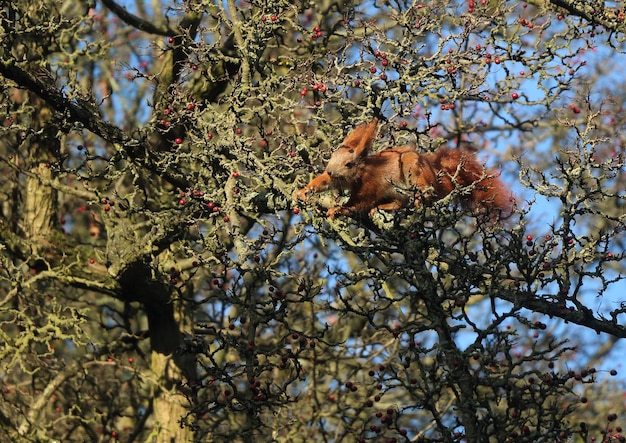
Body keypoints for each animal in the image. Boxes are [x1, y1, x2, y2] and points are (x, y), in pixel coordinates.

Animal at [292, 119, 512, 221]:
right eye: (331, 159)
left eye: (349, 164)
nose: (331, 171)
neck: (360, 173)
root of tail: (435, 172)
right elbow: (323, 182)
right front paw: (303, 191)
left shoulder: (369, 185)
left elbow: (358, 203)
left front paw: (338, 209)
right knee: (399, 203)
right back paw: (385, 206)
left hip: (414, 171)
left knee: (423, 194)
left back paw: (416, 200)